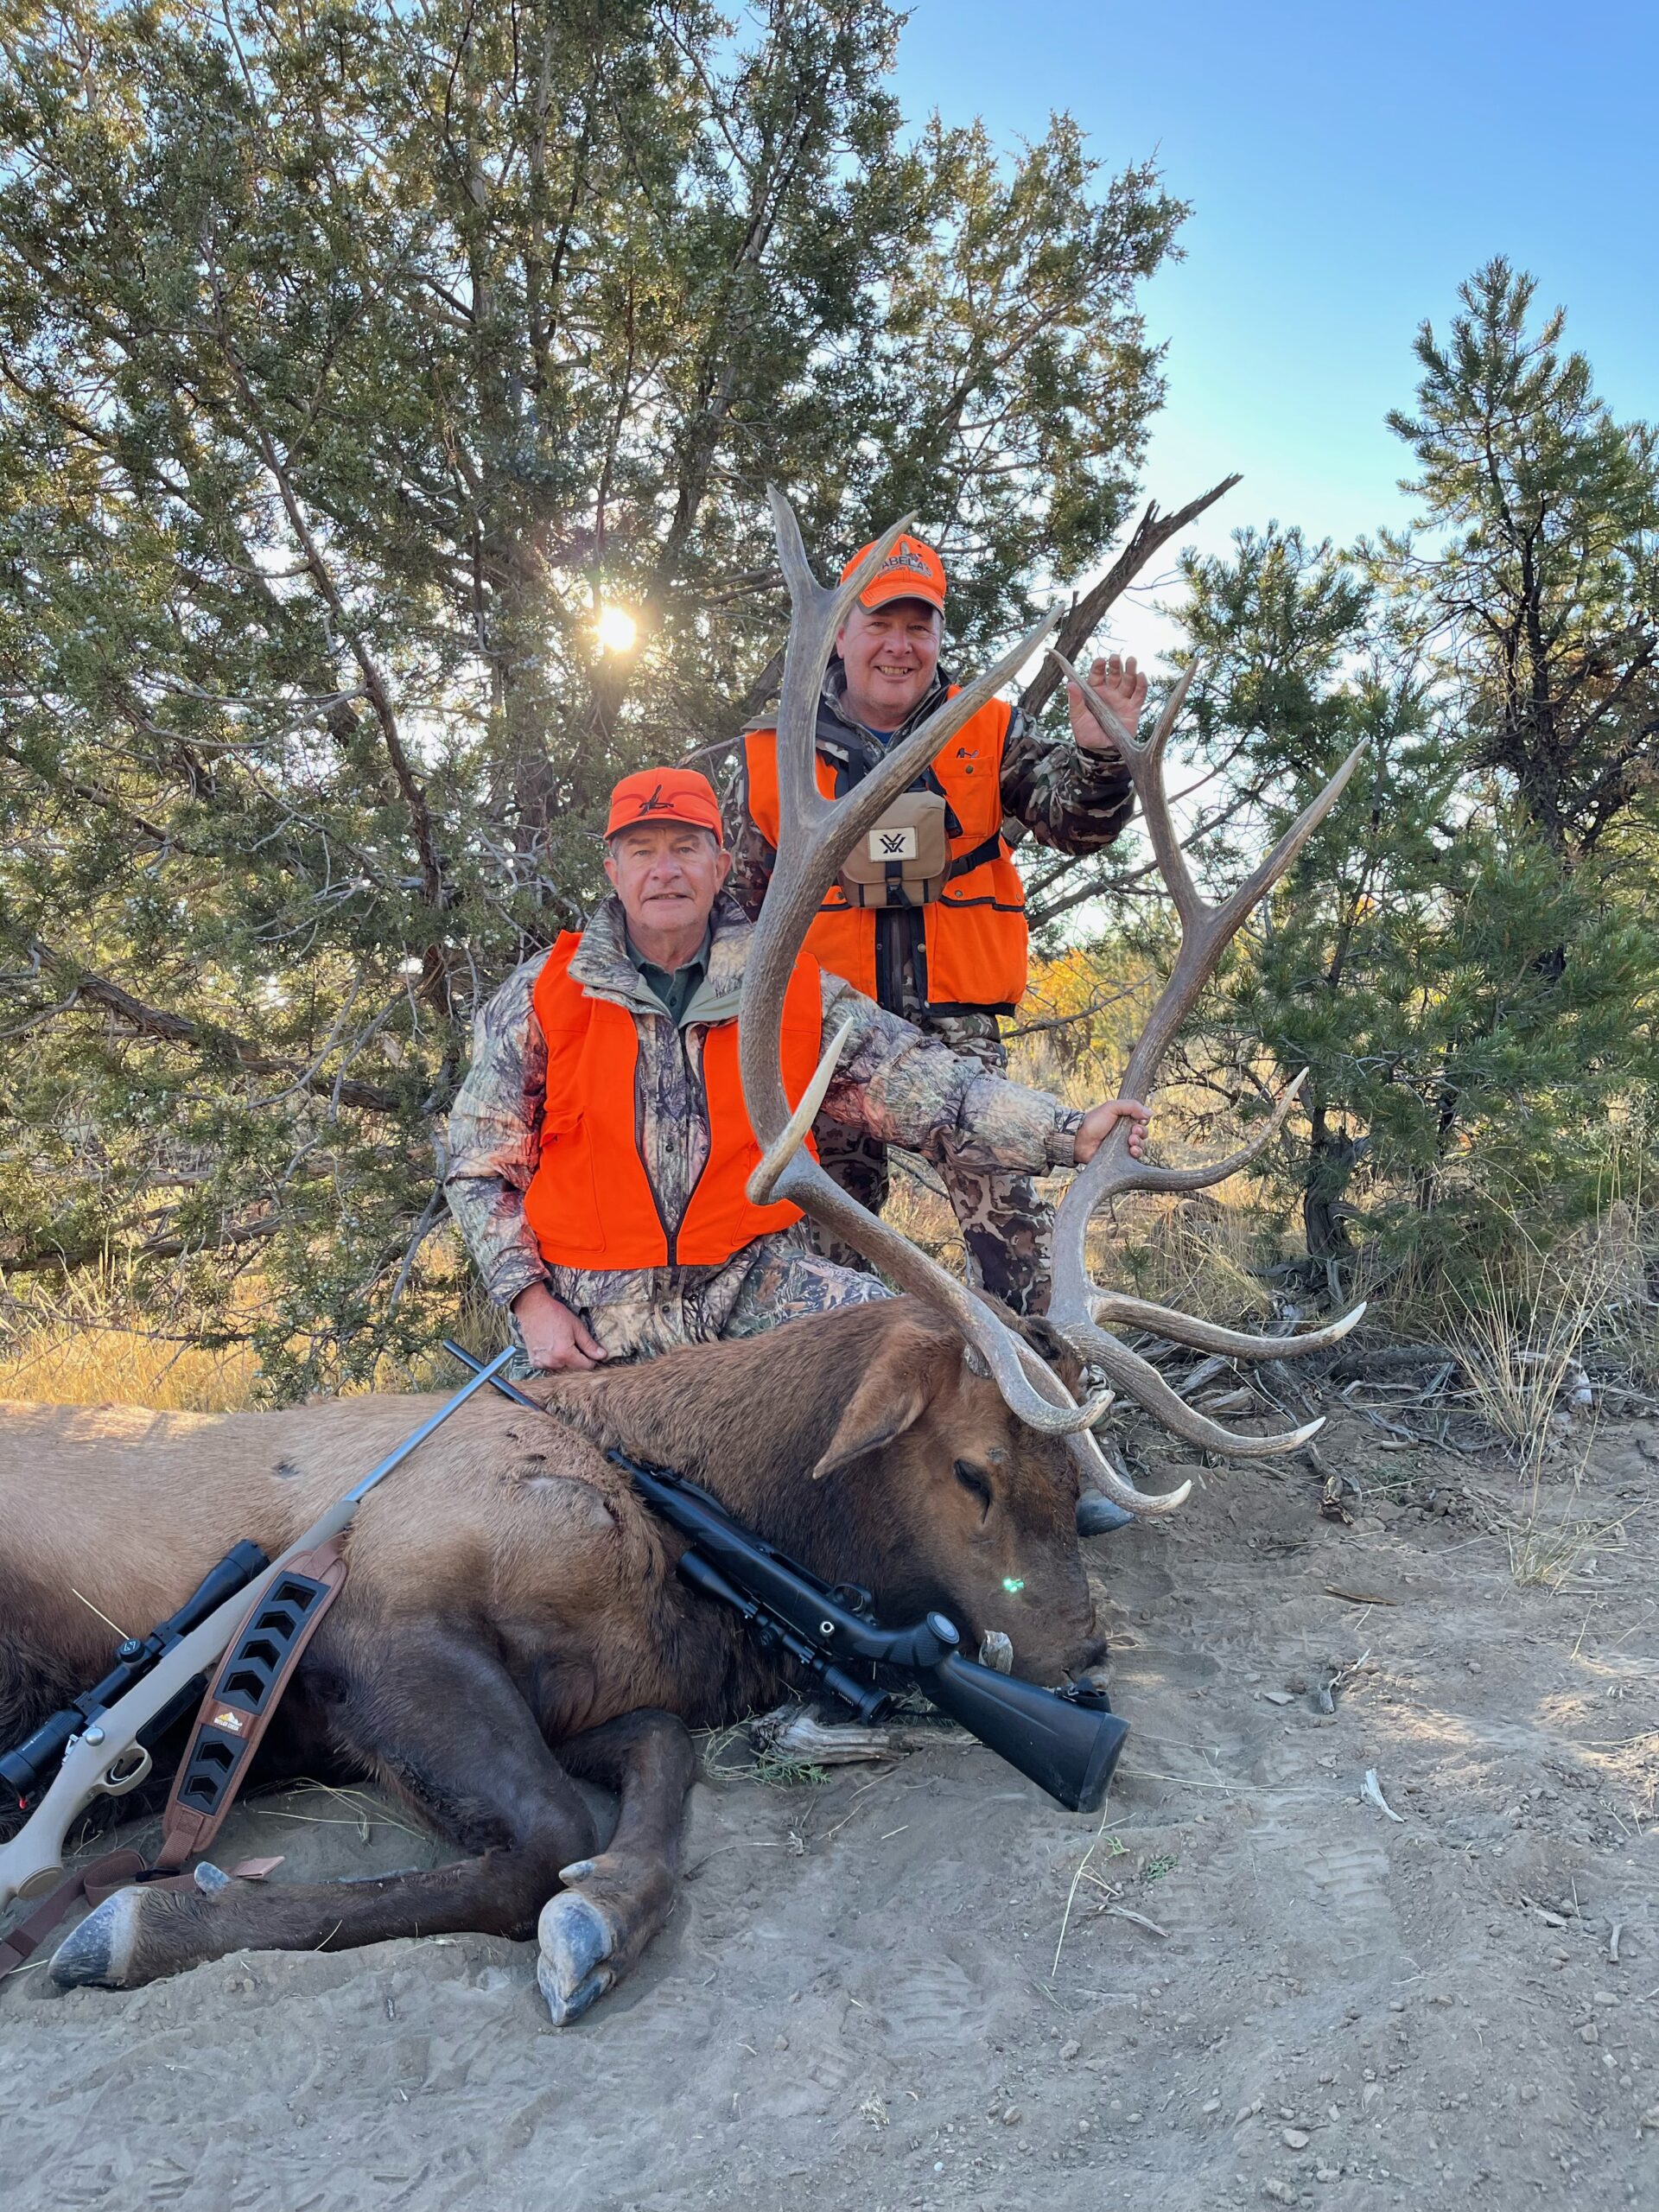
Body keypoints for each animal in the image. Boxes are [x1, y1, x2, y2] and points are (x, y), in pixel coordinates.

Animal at [0, 498, 1362, 2025]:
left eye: (1075, 1482)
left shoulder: (604, 1693)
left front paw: (599, 1915)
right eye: (971, 1470)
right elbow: (541, 1833)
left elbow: (650, 1775)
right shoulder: (373, 1619)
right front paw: (121, 1920)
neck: (672, 1535)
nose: (1083, 1677)